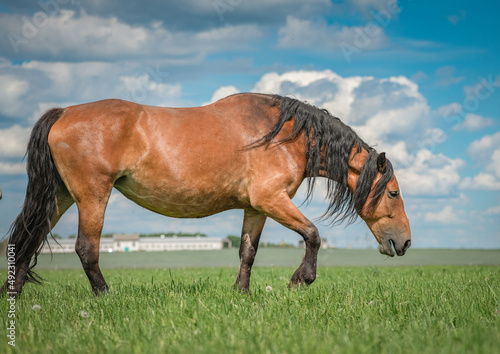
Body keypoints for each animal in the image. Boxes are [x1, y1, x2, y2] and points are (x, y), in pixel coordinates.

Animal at [1, 92, 410, 294]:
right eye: (392, 193)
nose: (405, 243)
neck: (283, 135)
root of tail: (64, 112)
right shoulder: (272, 200)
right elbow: (312, 234)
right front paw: (301, 280)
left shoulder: (256, 208)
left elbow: (247, 252)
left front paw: (241, 294)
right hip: (92, 196)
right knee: (86, 249)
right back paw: (105, 296)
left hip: (60, 197)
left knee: (28, 237)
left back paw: (14, 294)